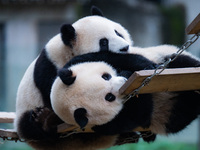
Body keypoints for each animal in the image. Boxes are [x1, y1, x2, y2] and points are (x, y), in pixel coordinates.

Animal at [14, 5, 136, 149]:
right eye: (104, 42)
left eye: (118, 33)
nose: (125, 48)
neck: (68, 51)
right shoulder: (50, 69)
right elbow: (53, 96)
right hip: (26, 111)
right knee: (30, 126)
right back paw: (44, 119)